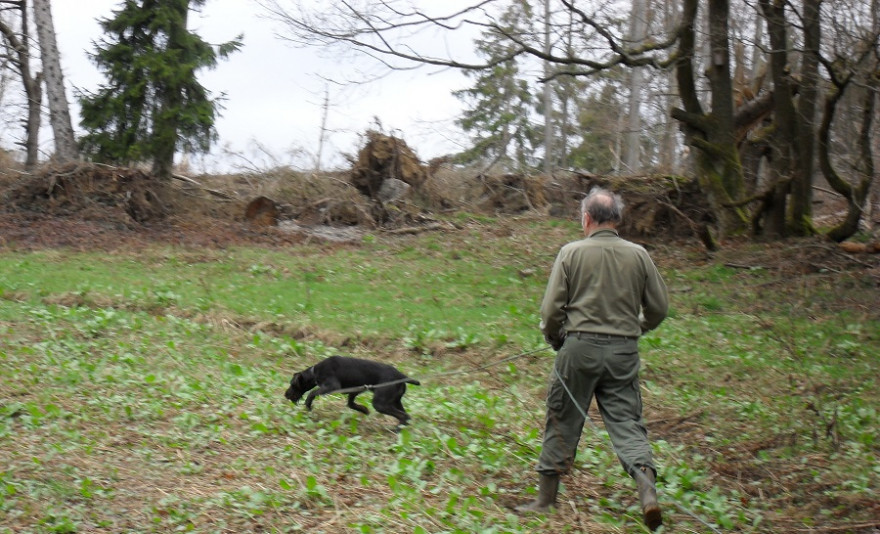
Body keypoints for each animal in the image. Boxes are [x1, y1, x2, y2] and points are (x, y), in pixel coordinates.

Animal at [282, 356, 420, 428]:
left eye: (293, 384)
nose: (286, 394)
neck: (314, 372)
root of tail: (401, 375)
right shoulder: (355, 390)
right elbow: (350, 403)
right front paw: (364, 410)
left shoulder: (331, 386)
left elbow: (312, 393)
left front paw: (308, 404)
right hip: (395, 401)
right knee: (406, 416)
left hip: (380, 403)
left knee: (403, 416)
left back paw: (397, 430)